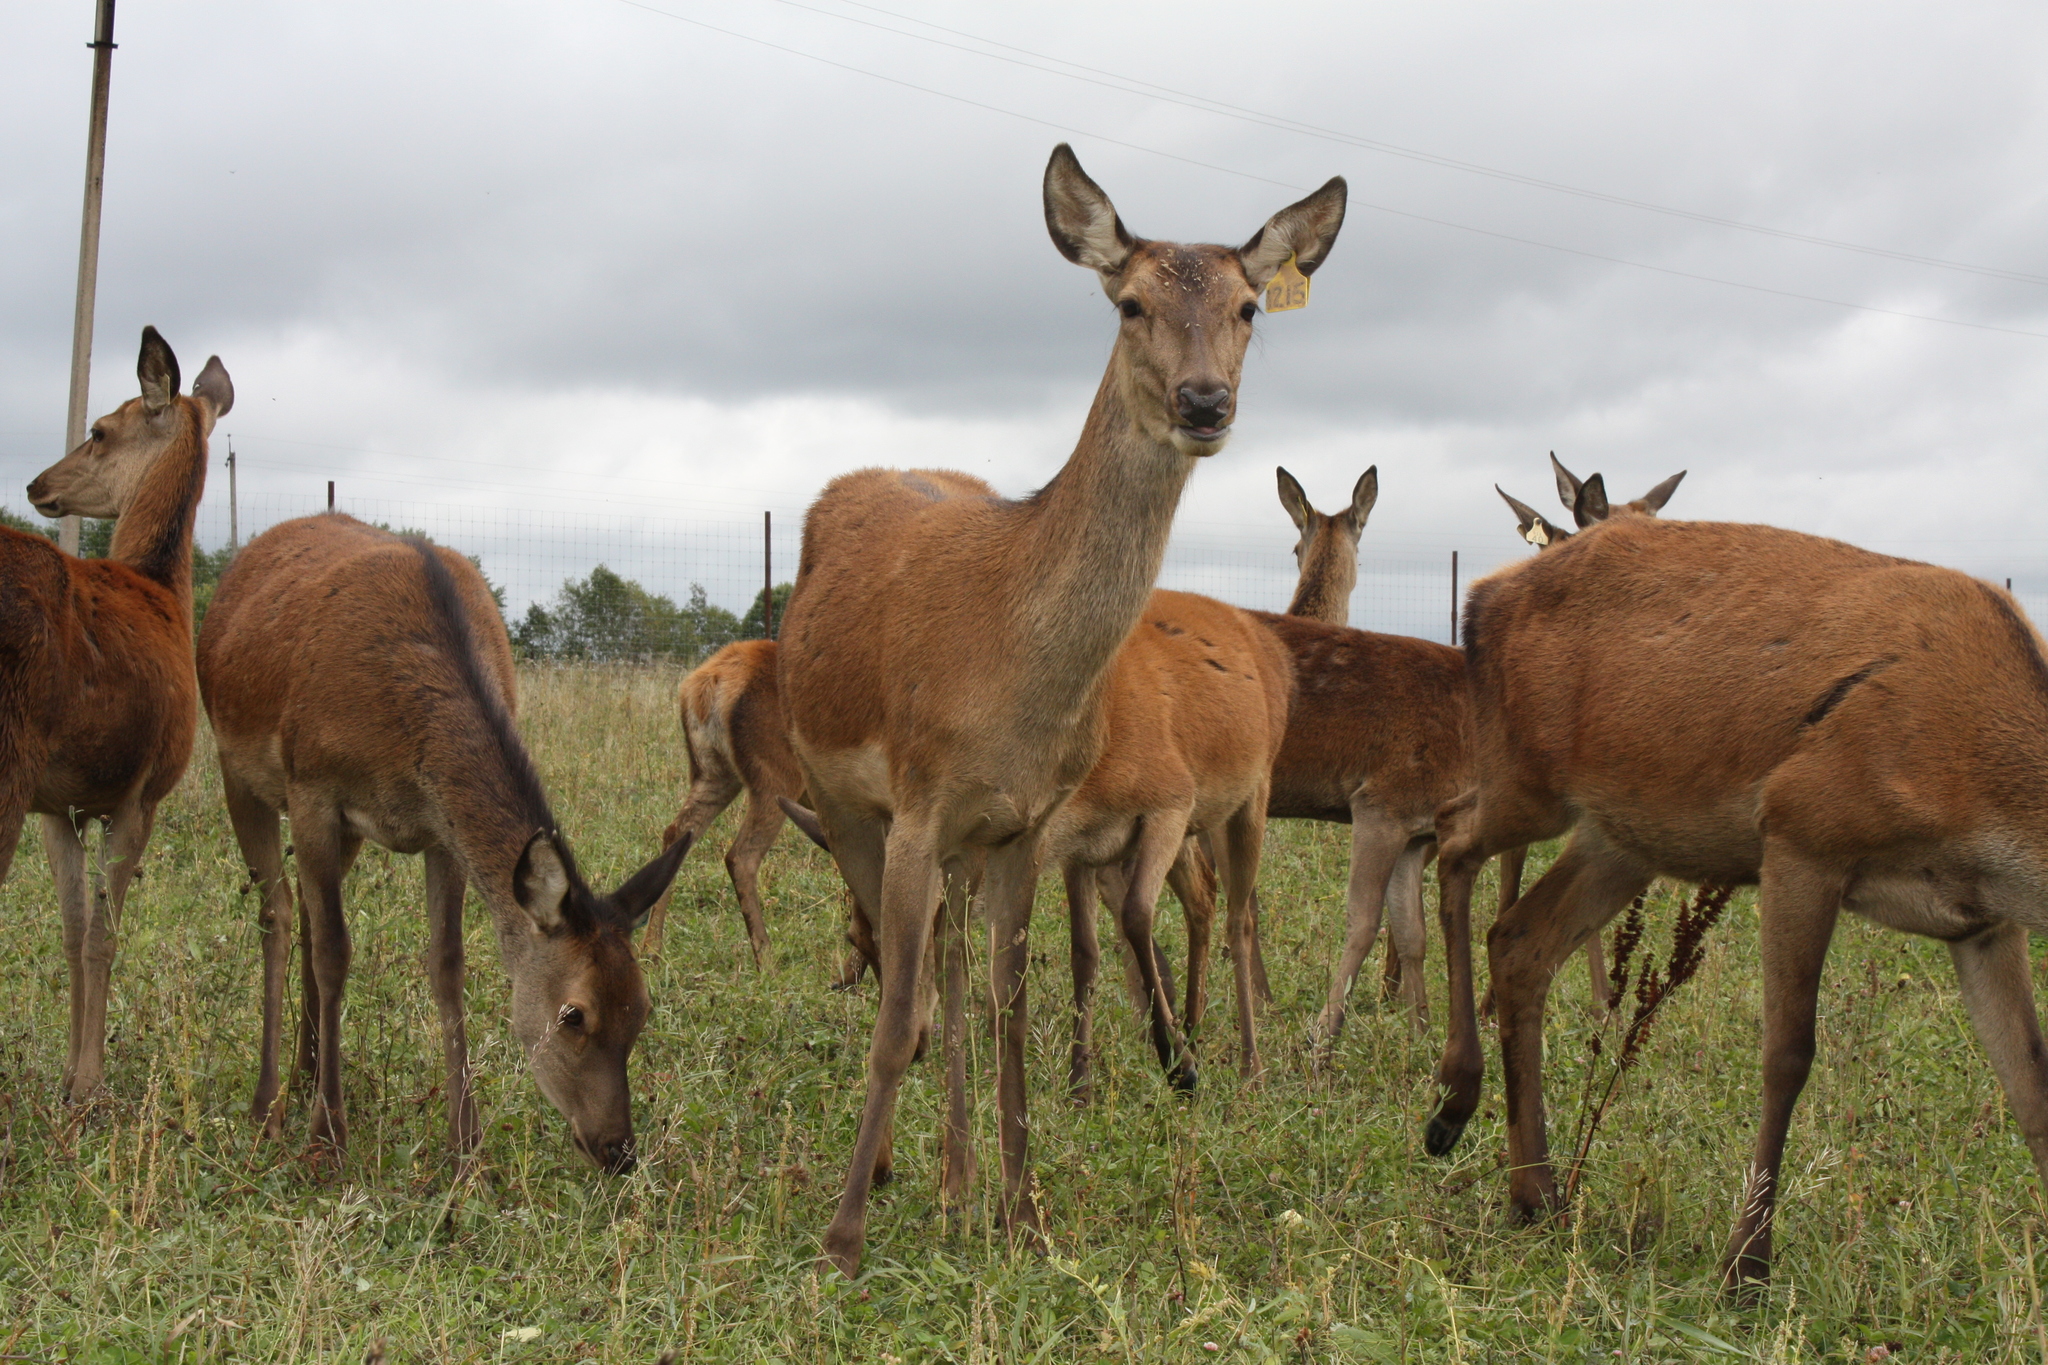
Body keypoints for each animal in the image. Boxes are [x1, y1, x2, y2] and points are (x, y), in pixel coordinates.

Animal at [2, 325, 230, 1105]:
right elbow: (104, 934)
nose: (37, 484)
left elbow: (76, 933)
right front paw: (90, 1085)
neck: (162, 593)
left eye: (99, 430)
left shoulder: (65, 803)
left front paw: (72, 1076)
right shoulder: (145, 790)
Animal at [196, 515, 688, 1178]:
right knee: (276, 913)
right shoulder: (314, 791)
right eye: (574, 1015)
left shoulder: (440, 831)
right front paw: (328, 1139)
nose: (618, 1150)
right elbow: (336, 953)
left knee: (302, 912)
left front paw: (466, 1143)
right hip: (240, 770)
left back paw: (306, 1074)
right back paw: (268, 1104)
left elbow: (446, 963)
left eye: (643, 1009)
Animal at [647, 638, 798, 961]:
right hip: (776, 777)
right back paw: (765, 957)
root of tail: (706, 684)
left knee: (676, 831)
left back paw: (651, 947)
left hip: (712, 773)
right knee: (741, 856)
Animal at [778, 144, 1343, 1277]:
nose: (1204, 401)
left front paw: (1023, 1214)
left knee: (953, 967)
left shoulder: (1020, 826)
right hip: (840, 800)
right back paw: (902, 1174)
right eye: (1128, 302)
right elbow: (897, 1013)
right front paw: (841, 1240)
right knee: (907, 973)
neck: (1013, 687)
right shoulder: (918, 806)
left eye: (1247, 304)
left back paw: (953, 1184)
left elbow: (1008, 1004)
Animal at [1417, 511, 2048, 1293]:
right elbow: (1788, 1053)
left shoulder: (1983, 921)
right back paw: (1451, 1103)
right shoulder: (1803, 832)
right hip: (1528, 776)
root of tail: (1481, 596)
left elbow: (2030, 1084)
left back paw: (1535, 1191)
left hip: (1622, 837)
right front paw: (1745, 1264)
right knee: (1451, 832)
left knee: (1519, 938)